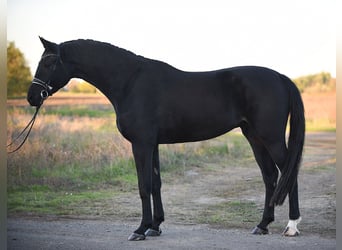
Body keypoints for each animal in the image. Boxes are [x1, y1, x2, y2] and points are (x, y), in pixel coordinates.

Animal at [26, 37, 304, 240]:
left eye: (49, 63)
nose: (32, 97)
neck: (130, 82)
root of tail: (280, 77)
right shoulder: (153, 144)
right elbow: (156, 183)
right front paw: (155, 226)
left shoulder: (141, 144)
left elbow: (143, 185)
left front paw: (140, 229)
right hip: (254, 137)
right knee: (270, 177)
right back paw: (262, 224)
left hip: (271, 138)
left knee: (288, 174)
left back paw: (291, 226)